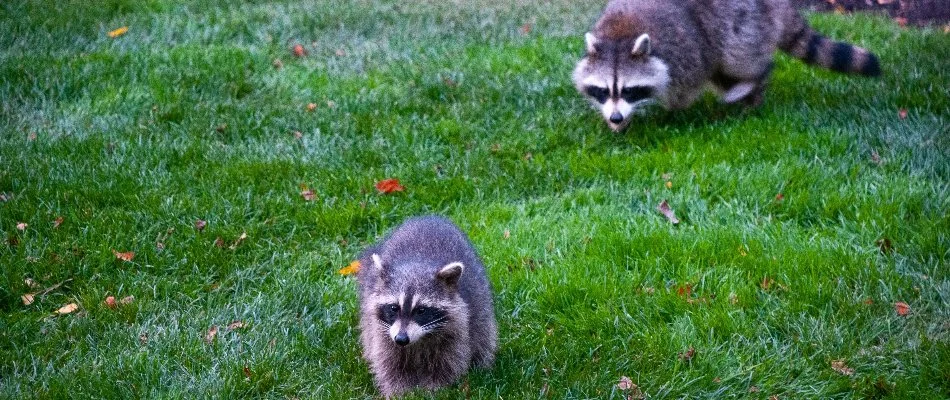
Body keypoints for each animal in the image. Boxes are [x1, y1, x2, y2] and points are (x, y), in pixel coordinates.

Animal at [356, 215, 497, 397]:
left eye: (421, 310)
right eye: (394, 308)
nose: (401, 339)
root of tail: (430, 216)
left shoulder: (456, 328)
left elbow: (447, 363)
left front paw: (434, 390)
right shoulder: (383, 332)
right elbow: (389, 363)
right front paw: (398, 392)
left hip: (481, 298)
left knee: (482, 333)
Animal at [572, 0, 881, 131]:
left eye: (629, 90)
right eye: (603, 90)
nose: (616, 117)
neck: (619, 36)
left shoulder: (685, 49)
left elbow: (684, 90)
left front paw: (666, 112)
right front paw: (617, 122)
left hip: (743, 20)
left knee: (736, 58)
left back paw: (753, 82)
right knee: (722, 71)